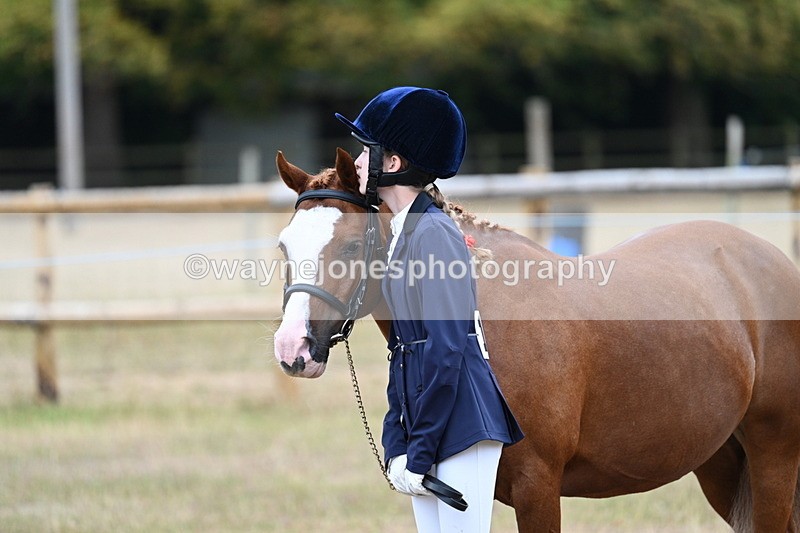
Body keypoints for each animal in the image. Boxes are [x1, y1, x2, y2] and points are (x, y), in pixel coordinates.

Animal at [272, 148, 800, 532]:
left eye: (350, 246)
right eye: (283, 246)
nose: (292, 349)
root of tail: (771, 259)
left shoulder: (538, 485)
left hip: (773, 455)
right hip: (721, 463)